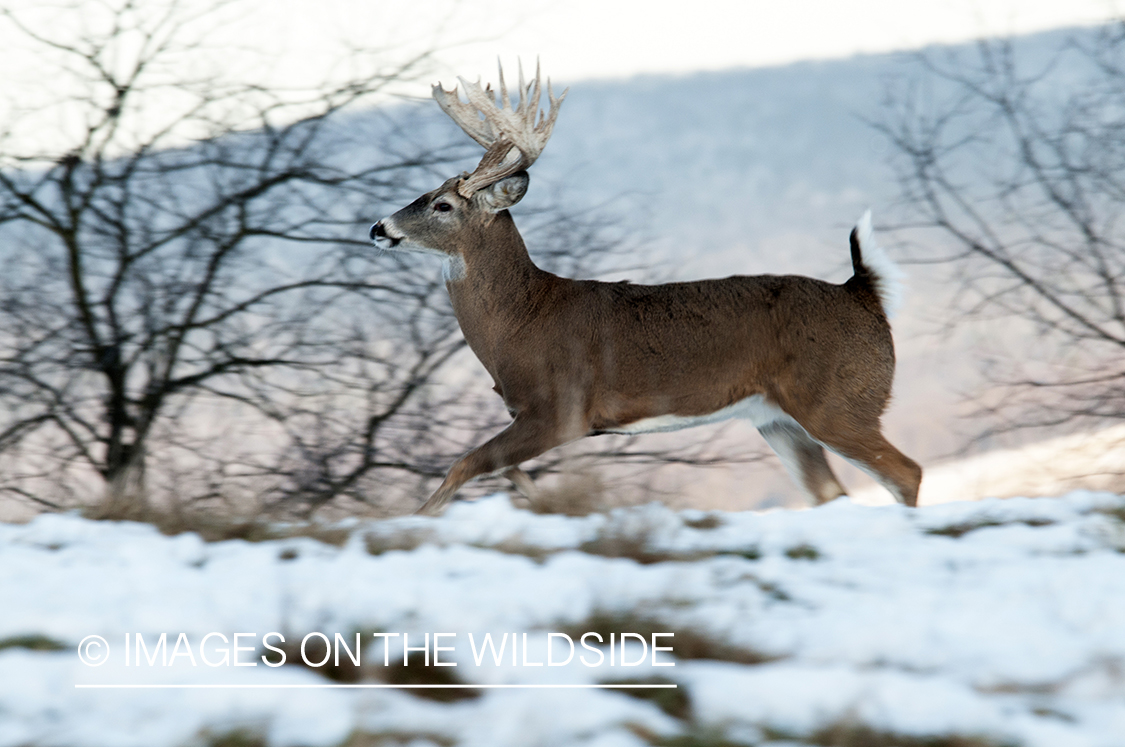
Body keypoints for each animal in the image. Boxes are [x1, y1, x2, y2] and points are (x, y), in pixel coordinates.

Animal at [371, 62, 922, 513]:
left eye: (443, 204)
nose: (378, 227)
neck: (520, 321)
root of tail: (863, 292)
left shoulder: (561, 410)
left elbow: (463, 465)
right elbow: (507, 472)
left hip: (838, 400)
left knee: (906, 472)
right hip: (778, 418)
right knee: (830, 492)